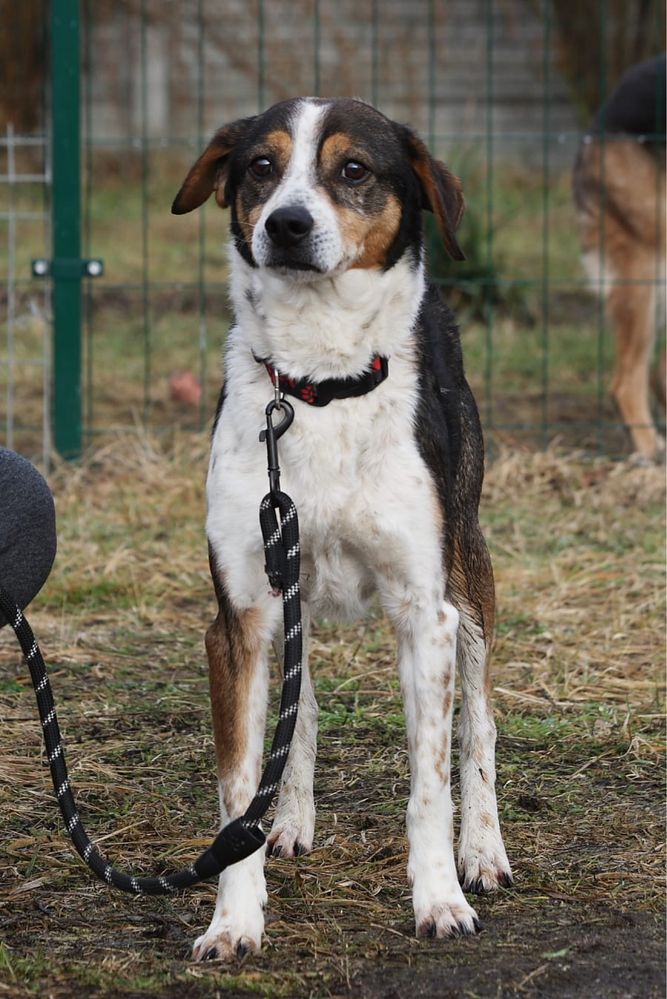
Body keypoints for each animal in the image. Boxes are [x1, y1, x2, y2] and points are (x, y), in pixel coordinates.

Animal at [172, 95, 512, 960]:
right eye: (261, 166)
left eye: (353, 169)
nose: (286, 224)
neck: (317, 380)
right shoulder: (238, 619)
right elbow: (239, 789)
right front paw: (233, 921)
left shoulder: (426, 612)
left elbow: (430, 781)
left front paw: (440, 899)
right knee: (300, 712)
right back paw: (290, 816)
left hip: (469, 570)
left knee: (480, 724)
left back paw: (483, 850)